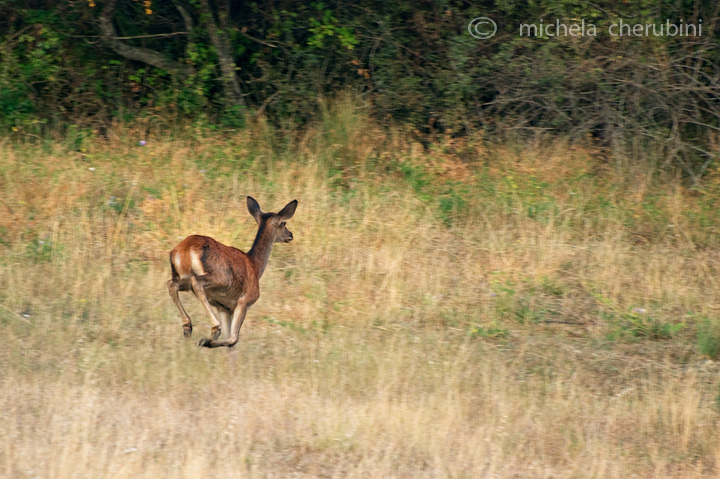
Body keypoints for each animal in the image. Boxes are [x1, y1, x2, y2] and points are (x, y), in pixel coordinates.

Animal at [167, 196, 296, 348]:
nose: (290, 235)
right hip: (222, 277)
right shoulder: (245, 300)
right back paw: (214, 328)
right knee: (196, 282)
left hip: (182, 277)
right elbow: (233, 339)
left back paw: (188, 327)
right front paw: (207, 340)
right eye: (284, 223)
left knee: (171, 284)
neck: (256, 266)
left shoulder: (223, 307)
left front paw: (209, 342)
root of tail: (184, 250)